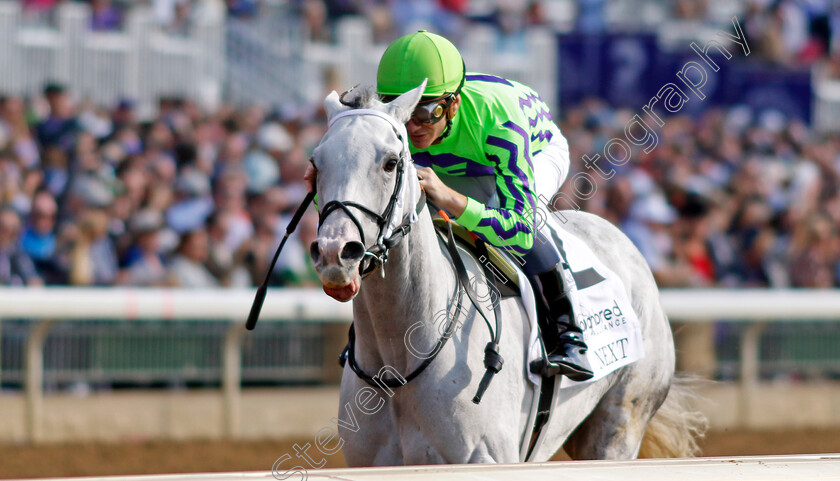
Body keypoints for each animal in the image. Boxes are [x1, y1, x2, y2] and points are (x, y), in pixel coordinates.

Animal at [312, 82, 704, 464]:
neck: (399, 360)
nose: (336, 252)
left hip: (619, 425)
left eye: (391, 162)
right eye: (315, 163)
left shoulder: (486, 458)